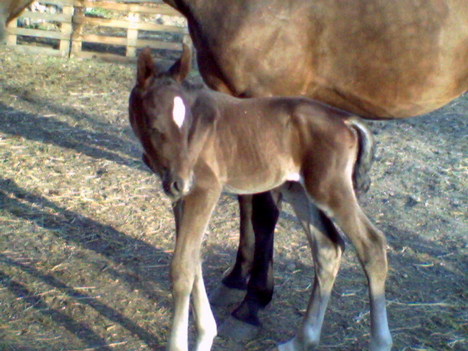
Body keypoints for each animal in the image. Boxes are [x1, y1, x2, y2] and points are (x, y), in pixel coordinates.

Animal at [129, 45, 392, 351]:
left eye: (187, 126)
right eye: (152, 123)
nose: (179, 181)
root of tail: (345, 119)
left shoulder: (205, 189)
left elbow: (182, 268)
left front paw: (185, 343)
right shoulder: (180, 198)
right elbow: (194, 261)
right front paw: (206, 334)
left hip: (330, 188)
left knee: (372, 245)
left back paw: (378, 342)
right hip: (298, 189)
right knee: (328, 249)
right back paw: (300, 340)